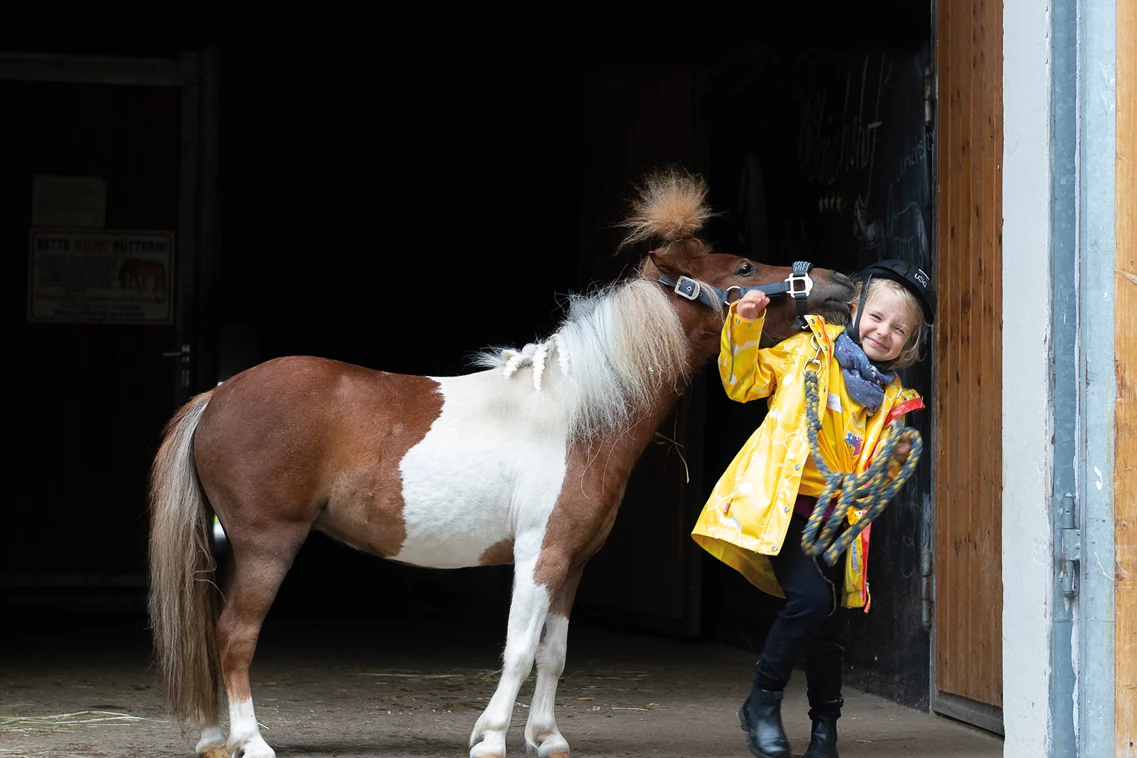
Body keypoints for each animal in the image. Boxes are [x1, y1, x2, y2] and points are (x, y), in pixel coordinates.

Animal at [151, 170, 855, 758]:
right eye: (743, 264)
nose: (842, 284)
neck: (579, 415)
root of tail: (219, 395)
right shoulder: (540, 553)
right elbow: (518, 650)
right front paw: (490, 738)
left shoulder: (573, 562)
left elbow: (554, 655)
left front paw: (547, 738)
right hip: (268, 542)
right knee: (234, 636)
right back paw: (251, 743)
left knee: (212, 633)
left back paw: (214, 740)